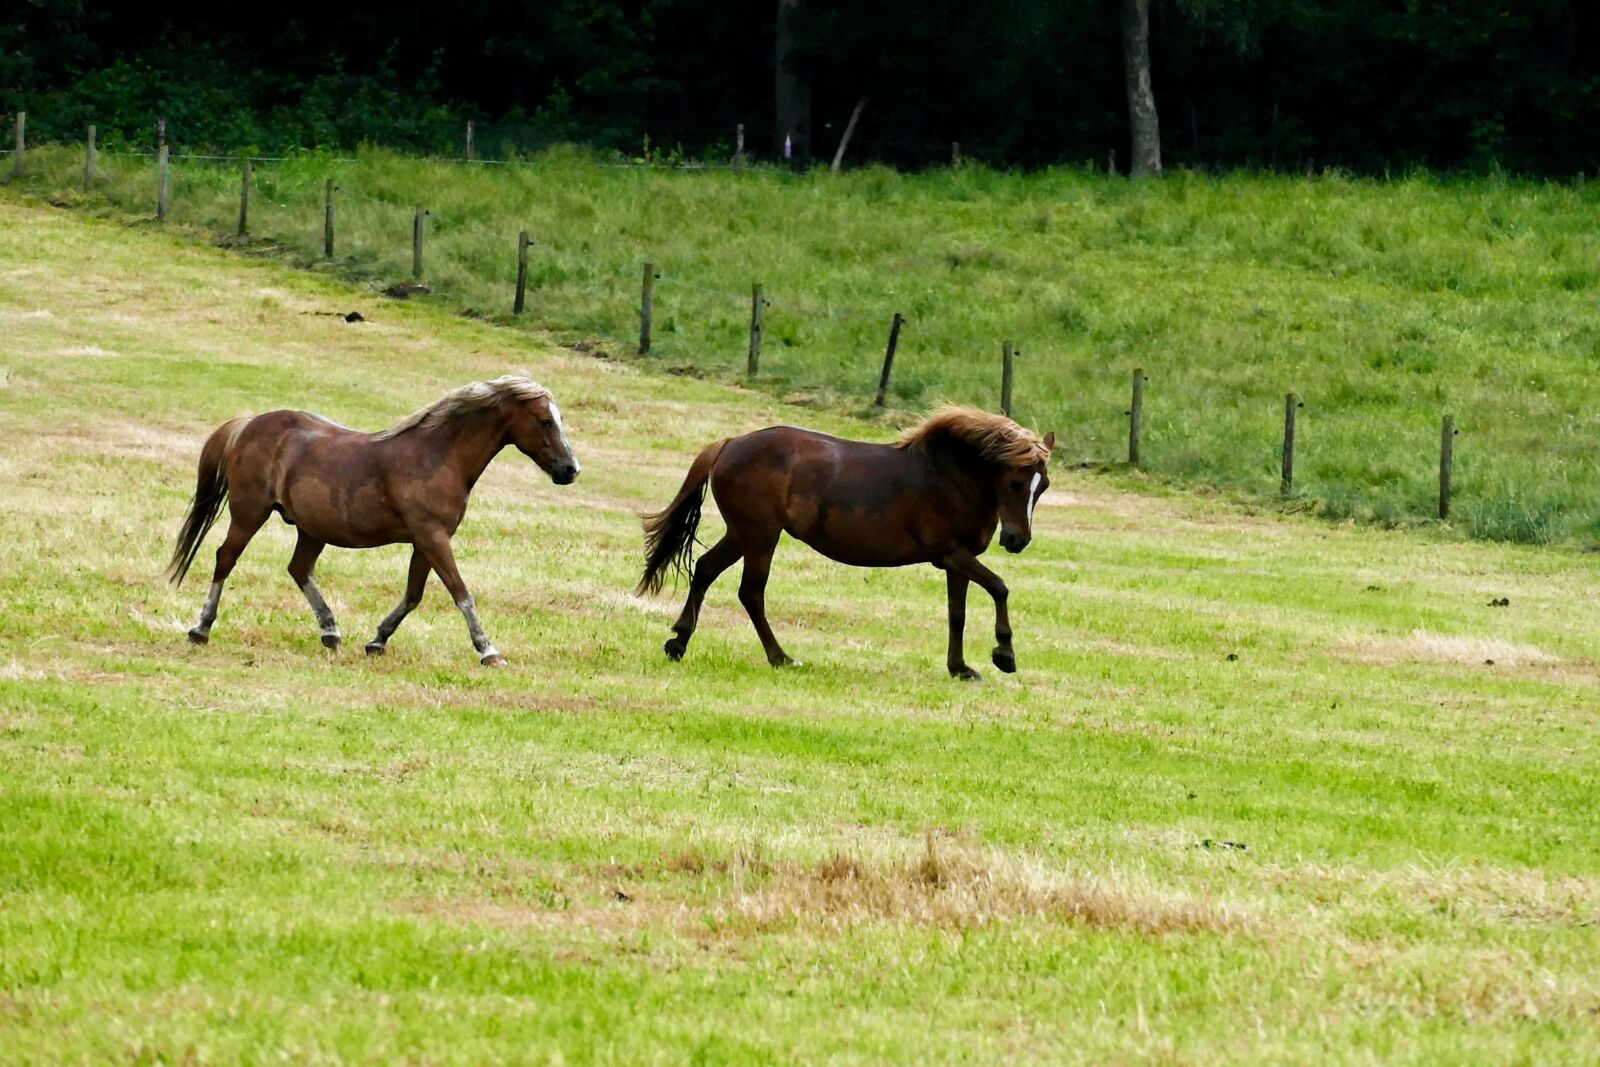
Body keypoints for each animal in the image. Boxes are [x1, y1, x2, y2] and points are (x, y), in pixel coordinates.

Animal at [166, 374, 580, 666]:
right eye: (545, 421)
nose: (571, 470)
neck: (438, 456)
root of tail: (249, 424)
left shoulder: (425, 542)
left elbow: (413, 595)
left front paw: (378, 640)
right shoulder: (433, 537)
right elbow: (461, 593)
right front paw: (488, 651)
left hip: (312, 528)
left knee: (299, 569)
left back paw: (331, 632)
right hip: (249, 512)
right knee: (225, 558)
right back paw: (201, 628)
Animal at [636, 406, 1053, 678]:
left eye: (1044, 485)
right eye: (1016, 482)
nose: (1017, 539)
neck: (949, 477)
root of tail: (730, 443)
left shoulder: (957, 561)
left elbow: (957, 614)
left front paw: (960, 668)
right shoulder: (952, 553)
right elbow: (999, 587)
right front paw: (1004, 655)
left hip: (743, 534)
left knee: (705, 570)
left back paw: (678, 642)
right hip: (759, 537)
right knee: (751, 593)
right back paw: (781, 657)